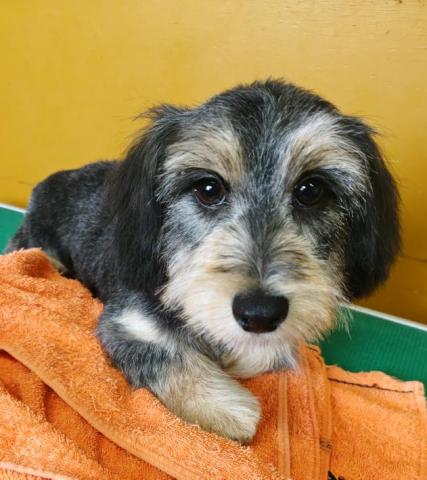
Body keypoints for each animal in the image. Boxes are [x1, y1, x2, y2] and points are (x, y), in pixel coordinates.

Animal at [7, 79, 400, 442]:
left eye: (312, 190)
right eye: (208, 188)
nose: (260, 313)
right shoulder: (128, 324)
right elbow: (172, 359)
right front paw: (231, 409)